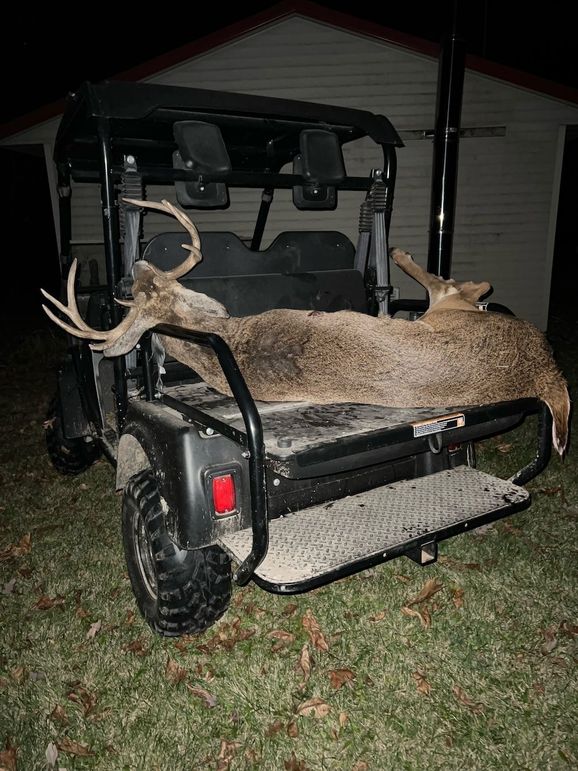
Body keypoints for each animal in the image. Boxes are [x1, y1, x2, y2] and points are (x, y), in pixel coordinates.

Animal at [41, 198, 571, 456]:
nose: (136, 267)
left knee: (458, 285)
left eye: (156, 287)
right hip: (445, 312)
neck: (232, 341)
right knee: (458, 285)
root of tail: (544, 366)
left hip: (448, 312)